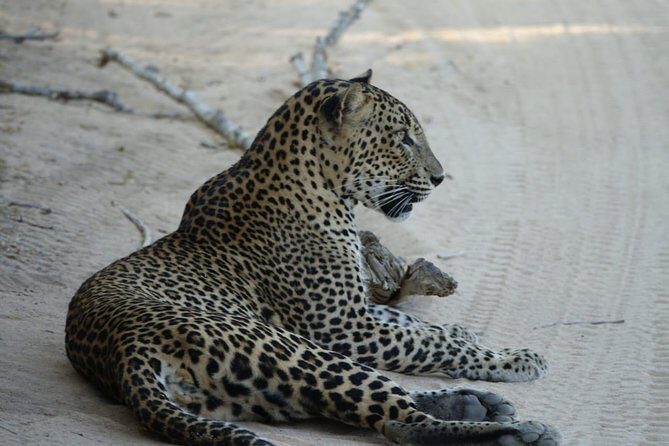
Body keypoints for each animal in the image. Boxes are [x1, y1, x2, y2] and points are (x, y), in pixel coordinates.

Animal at [65, 69, 560, 446]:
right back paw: (520, 430)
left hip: (256, 390)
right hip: (296, 348)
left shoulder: (355, 310)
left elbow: (414, 325)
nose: (439, 178)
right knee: (401, 423)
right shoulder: (341, 326)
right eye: (403, 140)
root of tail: (124, 351)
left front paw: (466, 333)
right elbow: (425, 342)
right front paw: (513, 359)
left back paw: (480, 404)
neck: (322, 188)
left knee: (369, 408)